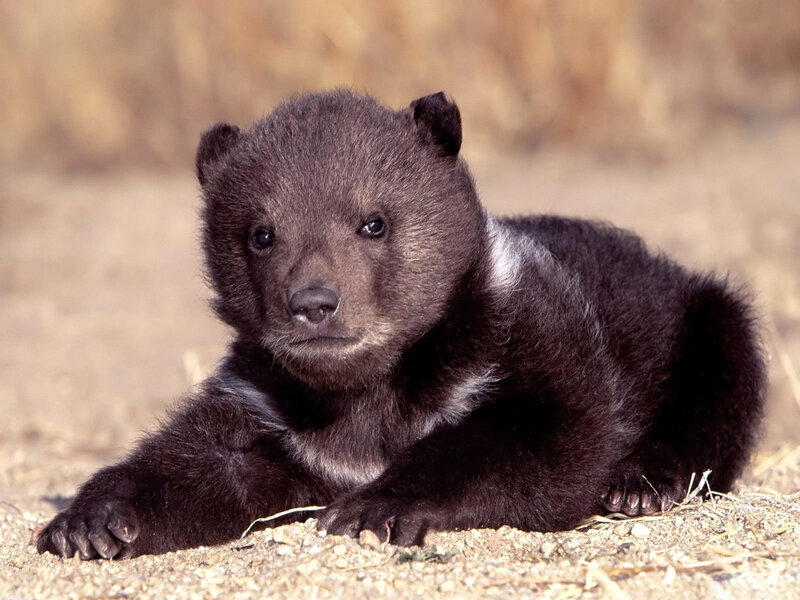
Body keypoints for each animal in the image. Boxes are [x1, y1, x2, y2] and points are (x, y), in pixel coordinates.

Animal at [36, 90, 766, 559]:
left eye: (374, 221)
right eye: (260, 232)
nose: (314, 303)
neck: (370, 389)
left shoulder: (533, 343)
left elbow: (541, 440)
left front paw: (375, 507)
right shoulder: (272, 410)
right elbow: (203, 461)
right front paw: (90, 521)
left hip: (704, 319)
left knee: (719, 394)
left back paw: (641, 484)